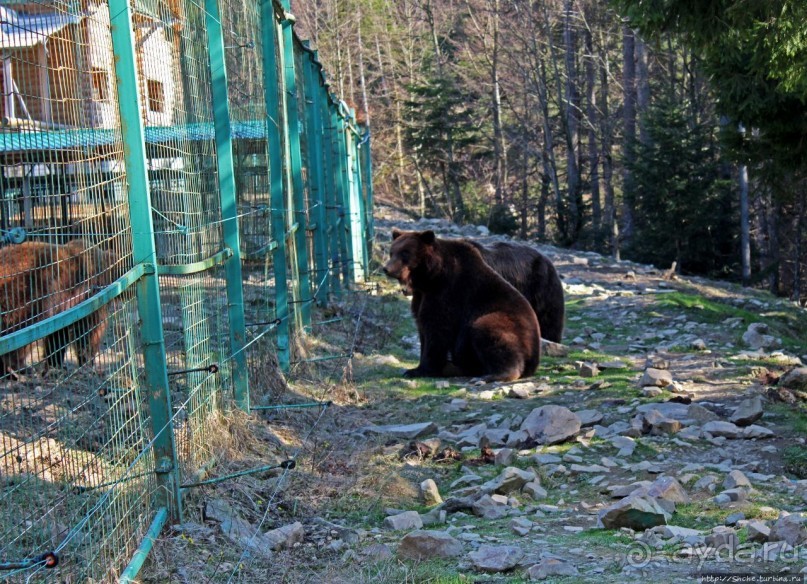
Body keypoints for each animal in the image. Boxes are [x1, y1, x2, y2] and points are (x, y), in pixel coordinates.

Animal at [0, 238, 119, 372]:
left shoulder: (63, 313)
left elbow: (57, 338)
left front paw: (54, 365)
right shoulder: (85, 299)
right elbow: (88, 331)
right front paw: (87, 360)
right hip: (27, 298)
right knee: (19, 337)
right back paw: (18, 368)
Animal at [386, 228, 544, 384]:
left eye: (405, 252)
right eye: (392, 251)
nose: (386, 268)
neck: (429, 278)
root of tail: (535, 359)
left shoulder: (447, 292)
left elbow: (436, 328)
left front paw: (419, 370)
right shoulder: (422, 296)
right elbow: (422, 326)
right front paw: (416, 368)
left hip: (509, 324)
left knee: (490, 332)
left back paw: (492, 375)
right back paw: (452, 368)